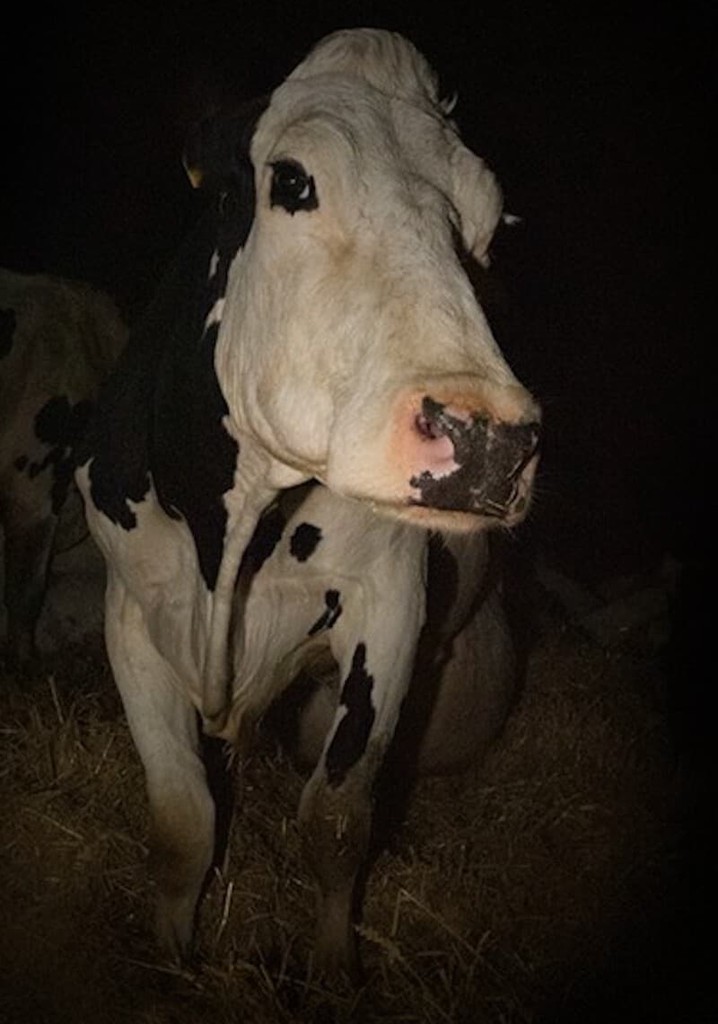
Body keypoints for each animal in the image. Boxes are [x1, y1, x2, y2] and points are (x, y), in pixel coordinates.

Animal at [75, 29, 540, 980]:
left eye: (486, 224)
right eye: (292, 180)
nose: (490, 441)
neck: (229, 538)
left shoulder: (389, 603)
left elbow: (334, 818)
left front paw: (331, 973)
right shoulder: (130, 609)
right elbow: (182, 820)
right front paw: (172, 959)